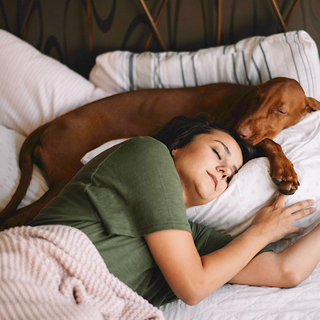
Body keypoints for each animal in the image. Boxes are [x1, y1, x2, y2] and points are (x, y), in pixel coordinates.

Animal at [1, 77, 320, 228]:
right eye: (257, 97)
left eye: (280, 110)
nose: (241, 130)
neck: (241, 99)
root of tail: (50, 124)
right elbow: (270, 142)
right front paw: (285, 170)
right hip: (65, 181)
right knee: (17, 218)